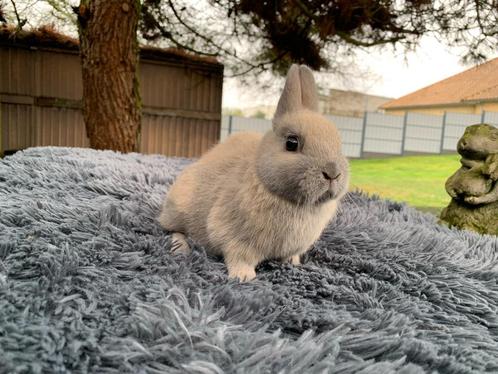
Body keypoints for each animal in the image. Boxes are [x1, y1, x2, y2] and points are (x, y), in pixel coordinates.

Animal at [160, 64, 350, 280]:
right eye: (291, 143)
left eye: (339, 144)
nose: (333, 173)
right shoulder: (232, 237)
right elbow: (239, 257)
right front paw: (243, 277)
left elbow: (291, 256)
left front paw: (294, 264)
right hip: (178, 212)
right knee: (173, 230)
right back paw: (180, 248)